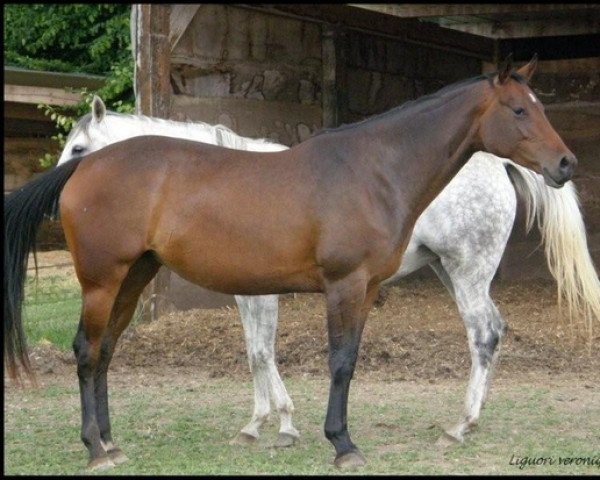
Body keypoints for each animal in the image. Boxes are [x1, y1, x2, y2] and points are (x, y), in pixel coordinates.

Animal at [3, 56, 576, 468]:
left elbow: (326, 358)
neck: (374, 170)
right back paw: (95, 449)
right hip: (105, 280)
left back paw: (110, 443)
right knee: (87, 350)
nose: (565, 163)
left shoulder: (360, 288)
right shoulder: (343, 285)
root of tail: (88, 174)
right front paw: (338, 443)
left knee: (103, 352)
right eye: (519, 110)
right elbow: (332, 360)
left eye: (538, 107)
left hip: (133, 276)